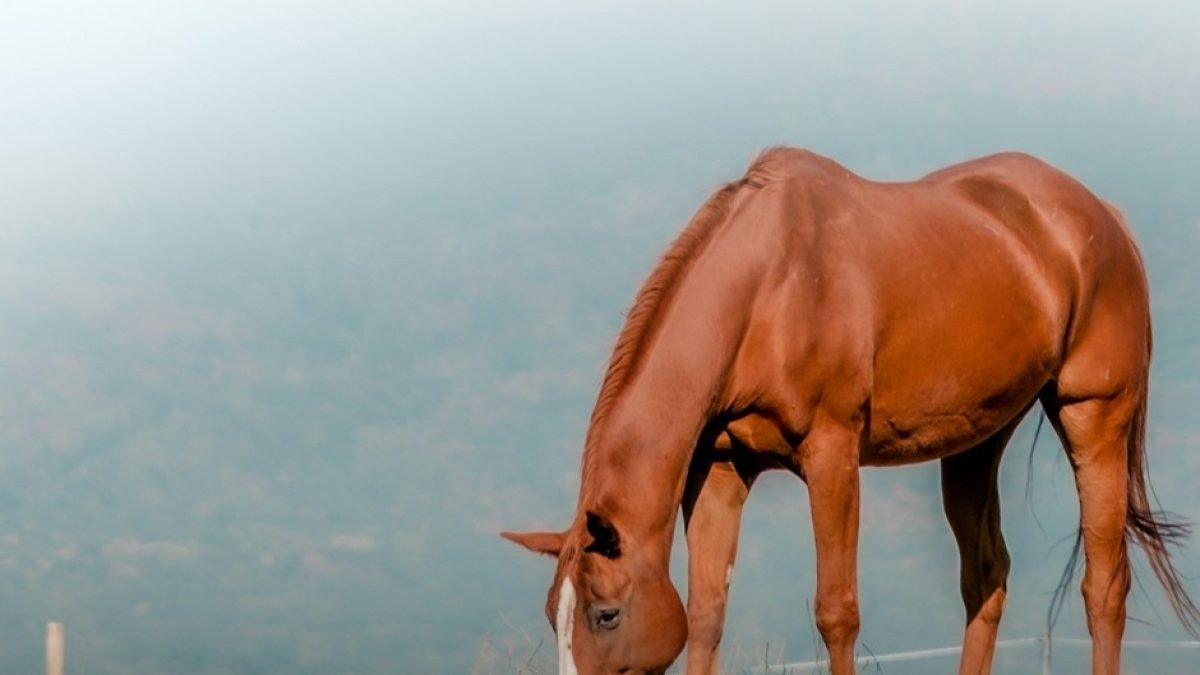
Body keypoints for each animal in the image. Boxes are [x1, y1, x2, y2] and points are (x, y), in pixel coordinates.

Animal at [502, 147, 1199, 675]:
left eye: (606, 614)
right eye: (551, 616)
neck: (766, 289)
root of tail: (1100, 216)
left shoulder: (831, 454)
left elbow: (836, 611)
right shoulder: (723, 468)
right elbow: (704, 614)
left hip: (1094, 413)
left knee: (1103, 586)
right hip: (976, 441)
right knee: (986, 578)